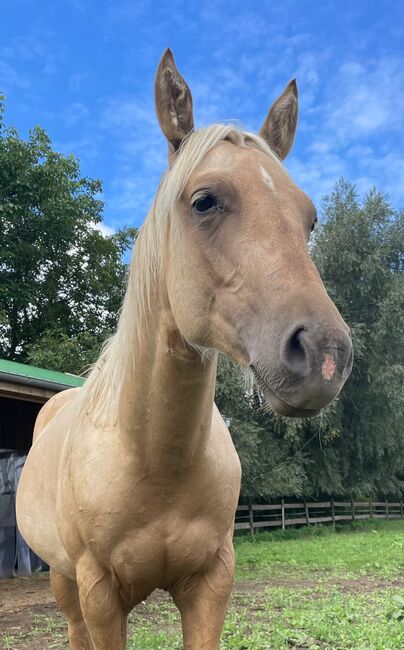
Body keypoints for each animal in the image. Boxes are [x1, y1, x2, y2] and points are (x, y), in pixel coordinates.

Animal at [15, 50, 352, 648]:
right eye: (204, 201)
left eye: (310, 219)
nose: (324, 354)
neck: (153, 459)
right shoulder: (99, 594)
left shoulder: (211, 583)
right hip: (64, 582)